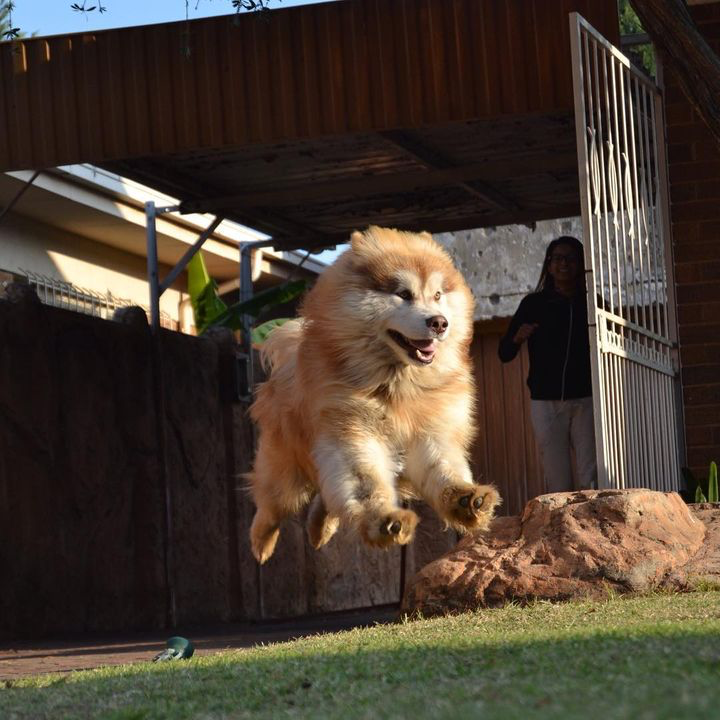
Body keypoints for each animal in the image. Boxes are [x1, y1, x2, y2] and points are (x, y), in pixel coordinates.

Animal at [248, 225, 500, 564]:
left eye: (437, 295)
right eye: (404, 294)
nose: (439, 322)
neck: (397, 384)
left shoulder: (431, 431)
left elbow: (443, 469)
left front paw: (465, 499)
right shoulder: (353, 435)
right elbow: (365, 483)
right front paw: (385, 521)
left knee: (325, 498)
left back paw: (319, 529)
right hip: (286, 470)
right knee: (273, 504)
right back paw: (262, 543)